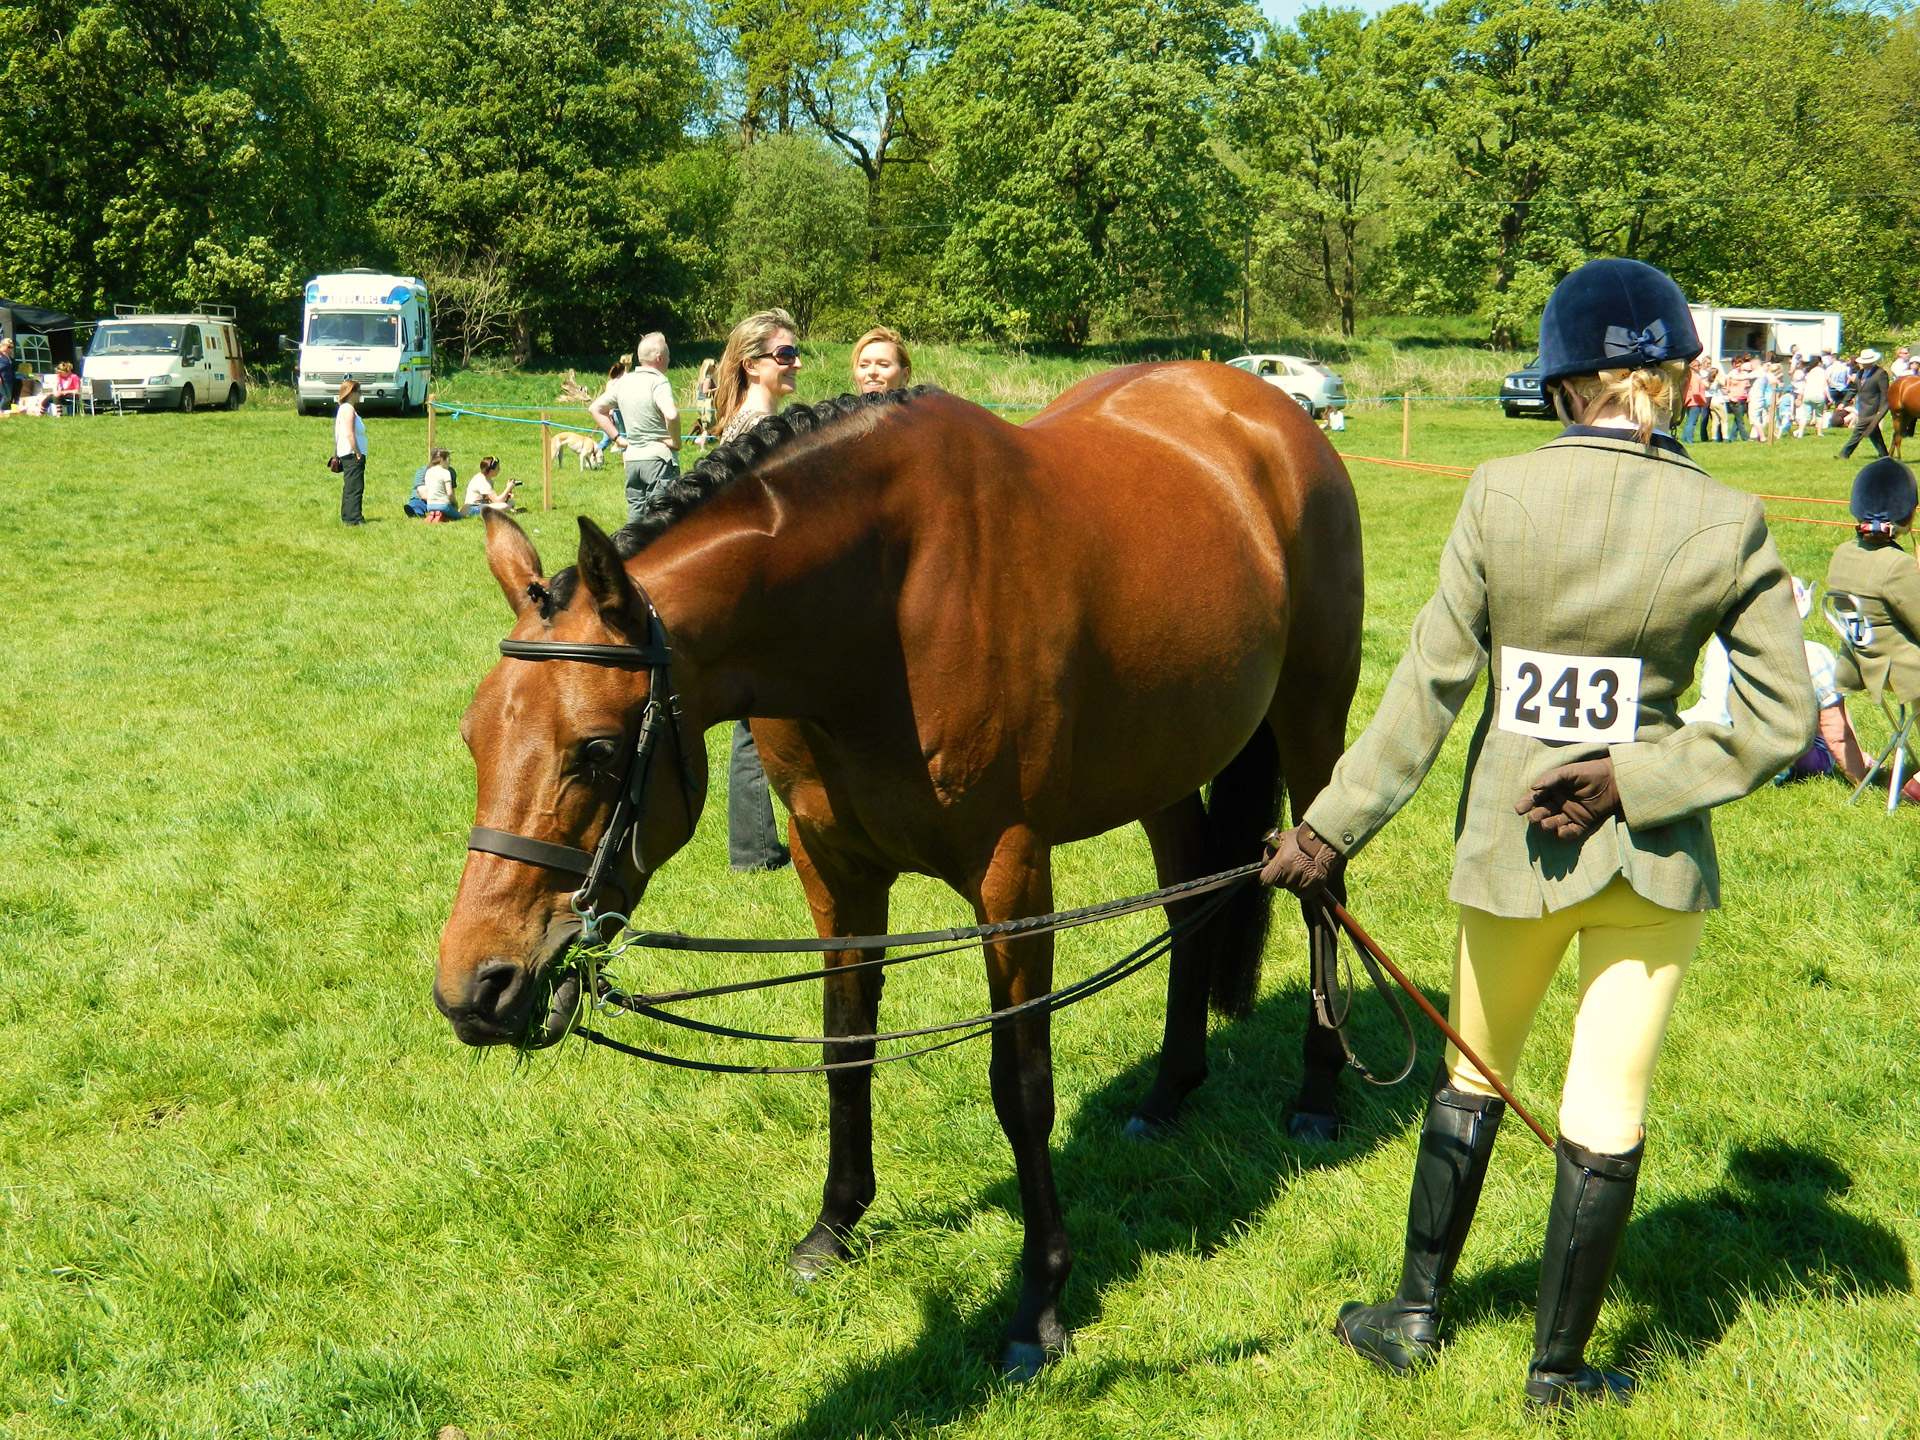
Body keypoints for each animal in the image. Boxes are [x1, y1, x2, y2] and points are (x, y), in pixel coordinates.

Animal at [435, 366, 1367, 1382]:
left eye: (597, 752)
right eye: (473, 739)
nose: (475, 986)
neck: (882, 605)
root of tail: (1267, 406)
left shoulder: (1011, 880)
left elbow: (1021, 1086)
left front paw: (1038, 1306)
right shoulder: (835, 870)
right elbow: (846, 1050)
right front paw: (832, 1230)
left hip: (1313, 725)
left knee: (1322, 891)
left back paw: (1319, 1101)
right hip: (1161, 757)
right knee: (1191, 891)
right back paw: (1167, 1095)